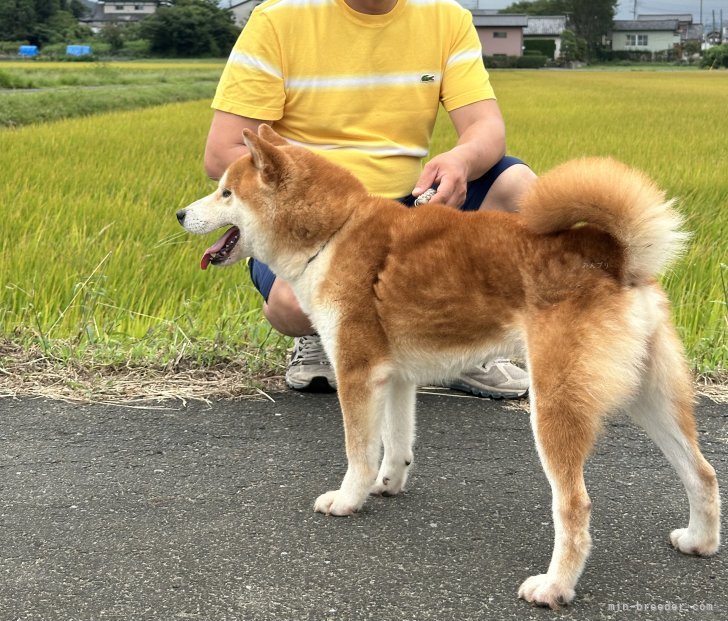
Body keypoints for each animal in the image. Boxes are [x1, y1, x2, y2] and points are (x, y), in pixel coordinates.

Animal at [175, 123, 716, 608]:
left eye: (225, 193)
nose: (180, 213)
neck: (335, 231)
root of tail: (614, 256)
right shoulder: (394, 376)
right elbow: (396, 444)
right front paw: (387, 485)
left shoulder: (356, 370)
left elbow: (359, 451)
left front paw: (349, 499)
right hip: (652, 398)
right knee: (702, 472)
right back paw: (700, 540)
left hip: (556, 403)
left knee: (575, 504)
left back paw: (553, 587)